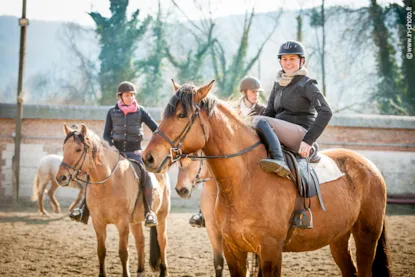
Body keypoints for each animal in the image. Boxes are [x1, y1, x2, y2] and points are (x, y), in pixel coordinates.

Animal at [57, 124, 171, 276]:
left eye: (78, 149)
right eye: (64, 148)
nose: (61, 178)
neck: (108, 183)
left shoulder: (122, 223)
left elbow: (123, 253)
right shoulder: (98, 223)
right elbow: (101, 251)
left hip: (162, 216)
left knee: (162, 241)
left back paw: (163, 271)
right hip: (135, 221)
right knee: (140, 241)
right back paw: (140, 271)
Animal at [142, 81, 390, 276]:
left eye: (181, 115)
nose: (149, 157)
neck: (245, 179)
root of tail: (368, 166)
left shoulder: (270, 251)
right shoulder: (234, 250)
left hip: (366, 236)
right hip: (338, 237)